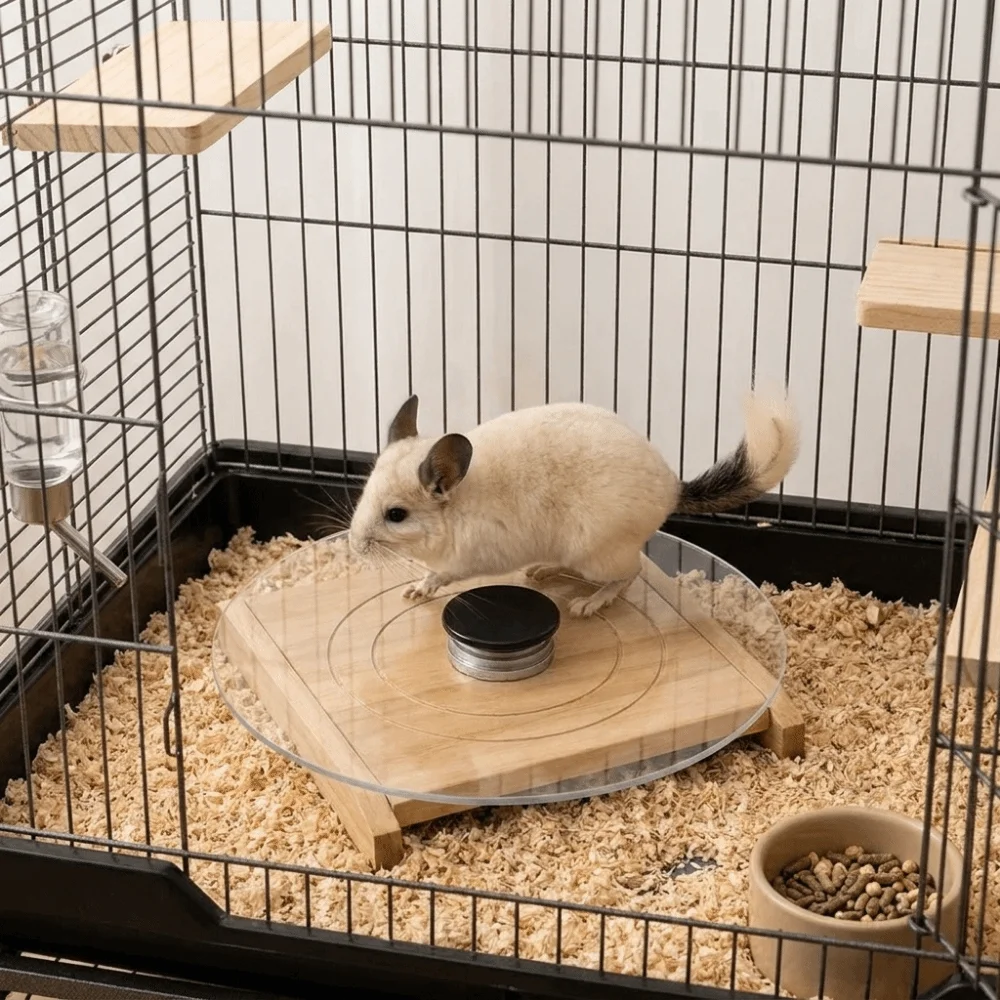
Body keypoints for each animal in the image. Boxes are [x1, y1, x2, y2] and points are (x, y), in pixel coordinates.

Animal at [348, 393, 799, 618]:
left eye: (396, 515)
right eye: (365, 491)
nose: (354, 545)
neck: (457, 503)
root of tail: (672, 488)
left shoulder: (466, 561)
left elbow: (441, 574)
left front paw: (418, 587)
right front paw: (413, 590)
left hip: (597, 554)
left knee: (631, 574)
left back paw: (588, 604)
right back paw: (541, 570)